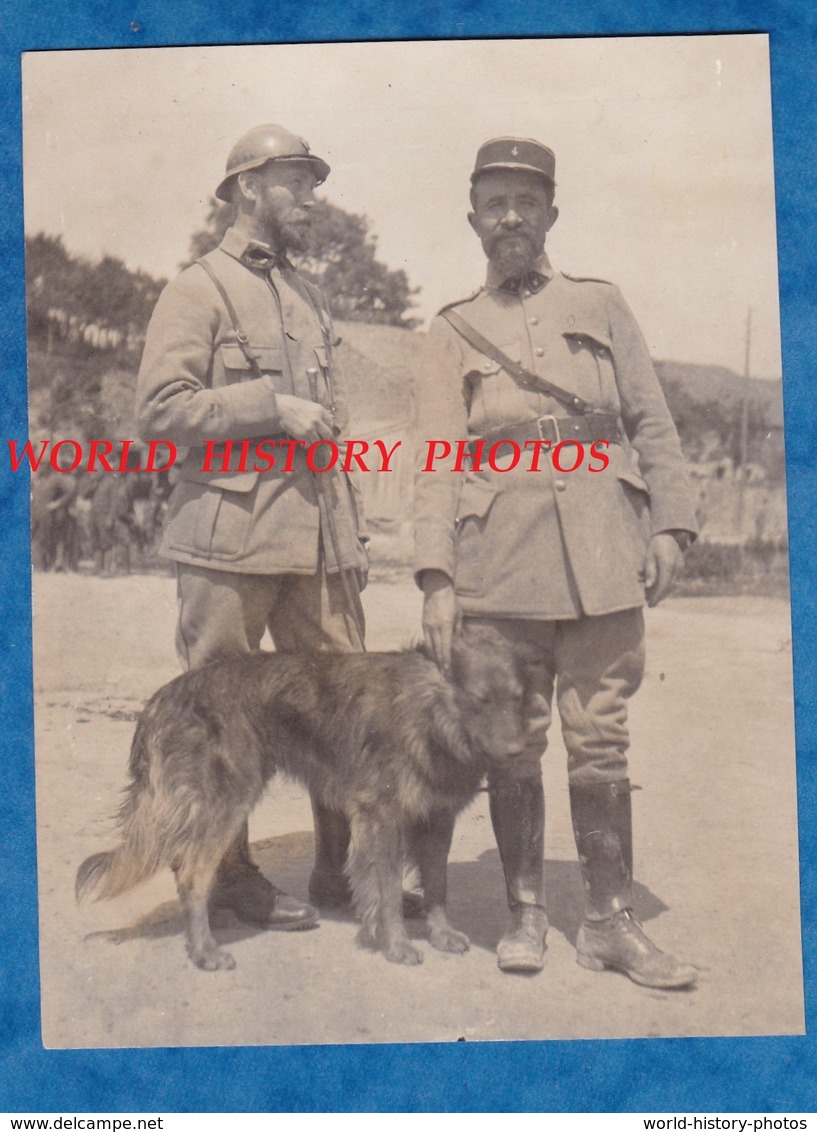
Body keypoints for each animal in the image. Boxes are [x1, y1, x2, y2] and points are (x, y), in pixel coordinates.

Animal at [72, 624, 525, 968]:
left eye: (516, 699)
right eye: (480, 700)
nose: (516, 753)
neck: (428, 711)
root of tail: (164, 697)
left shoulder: (436, 817)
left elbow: (437, 883)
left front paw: (441, 933)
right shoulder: (382, 816)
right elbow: (388, 890)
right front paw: (396, 944)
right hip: (227, 802)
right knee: (191, 874)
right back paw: (205, 951)